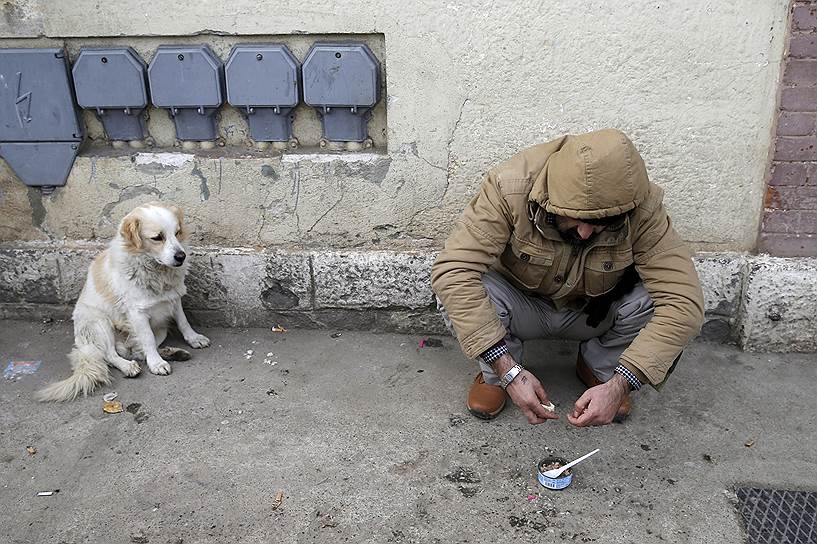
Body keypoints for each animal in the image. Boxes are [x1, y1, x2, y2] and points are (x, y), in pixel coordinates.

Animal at [38, 202, 210, 402]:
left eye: (177, 233)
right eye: (157, 238)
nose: (181, 256)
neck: (156, 271)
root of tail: (84, 348)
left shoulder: (173, 298)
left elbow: (183, 322)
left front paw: (194, 338)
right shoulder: (137, 314)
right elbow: (147, 340)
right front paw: (156, 364)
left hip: (160, 329)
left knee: (135, 351)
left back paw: (173, 353)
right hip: (100, 324)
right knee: (111, 354)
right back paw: (129, 366)